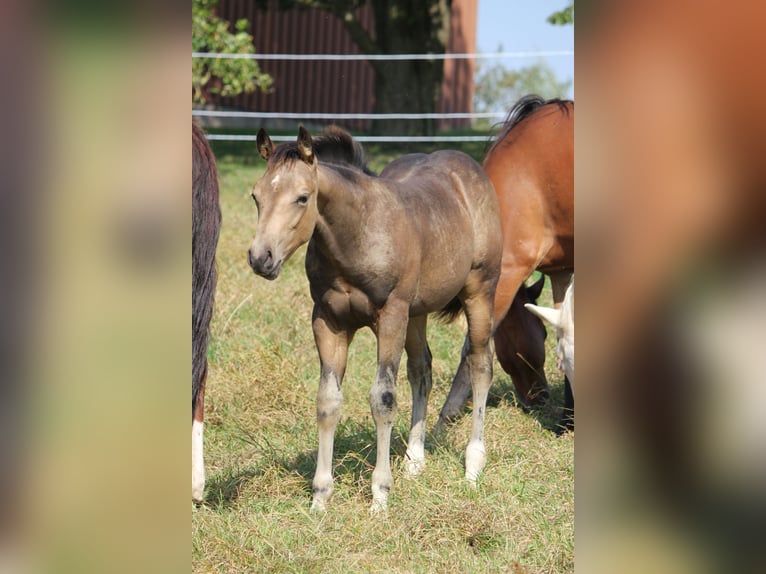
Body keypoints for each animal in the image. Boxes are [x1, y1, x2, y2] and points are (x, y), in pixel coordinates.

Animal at [249, 126, 508, 512]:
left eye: (302, 197)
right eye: (256, 196)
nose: (260, 258)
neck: (356, 236)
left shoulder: (390, 317)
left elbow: (383, 399)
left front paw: (380, 496)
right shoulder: (328, 320)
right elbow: (328, 401)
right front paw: (320, 498)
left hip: (479, 291)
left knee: (480, 364)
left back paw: (473, 464)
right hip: (417, 311)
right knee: (422, 369)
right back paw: (415, 460)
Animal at [438, 95, 576, 428]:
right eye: (540, 331)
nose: (541, 396)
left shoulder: (509, 270)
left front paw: (445, 416)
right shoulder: (562, 270)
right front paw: (568, 421)